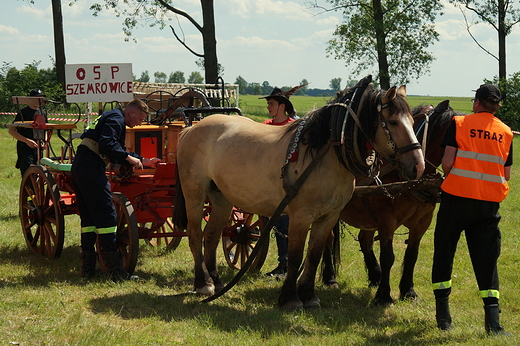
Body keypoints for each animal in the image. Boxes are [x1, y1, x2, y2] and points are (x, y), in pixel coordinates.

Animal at [173, 75, 424, 308]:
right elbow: (295, 257)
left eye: (413, 121)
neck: (324, 155)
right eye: (392, 122)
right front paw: (290, 298)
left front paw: (309, 296)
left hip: (221, 198)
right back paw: (202, 283)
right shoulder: (301, 216)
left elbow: (313, 256)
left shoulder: (328, 217)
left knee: (212, 235)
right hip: (194, 193)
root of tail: (192, 128)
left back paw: (216, 282)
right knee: (195, 234)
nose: (418, 166)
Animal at [322, 99, 458, 306]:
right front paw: (384, 295)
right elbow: (388, 257)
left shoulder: (422, 222)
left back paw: (375, 275)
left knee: (364, 240)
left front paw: (408, 290)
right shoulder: (387, 220)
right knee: (327, 239)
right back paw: (330, 278)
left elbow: (411, 255)